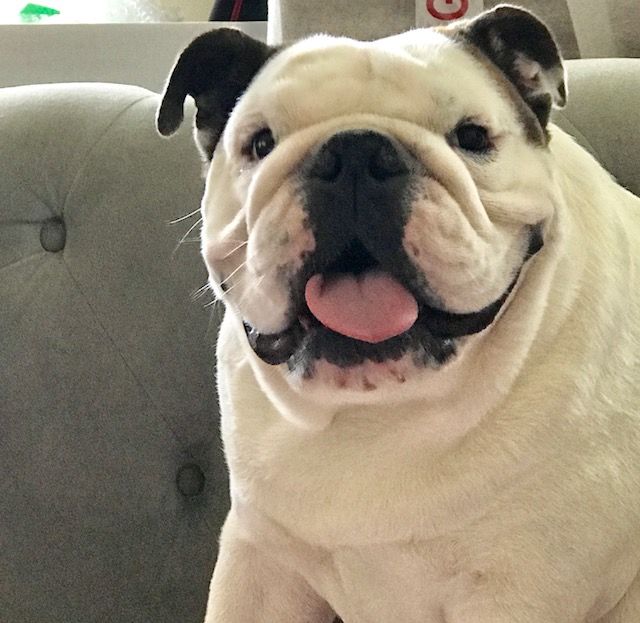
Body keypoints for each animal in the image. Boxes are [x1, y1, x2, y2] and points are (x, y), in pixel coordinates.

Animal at [157, 5, 640, 621]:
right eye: (260, 143)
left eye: (473, 137)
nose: (356, 152)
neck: (379, 409)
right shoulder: (260, 562)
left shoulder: (519, 588)